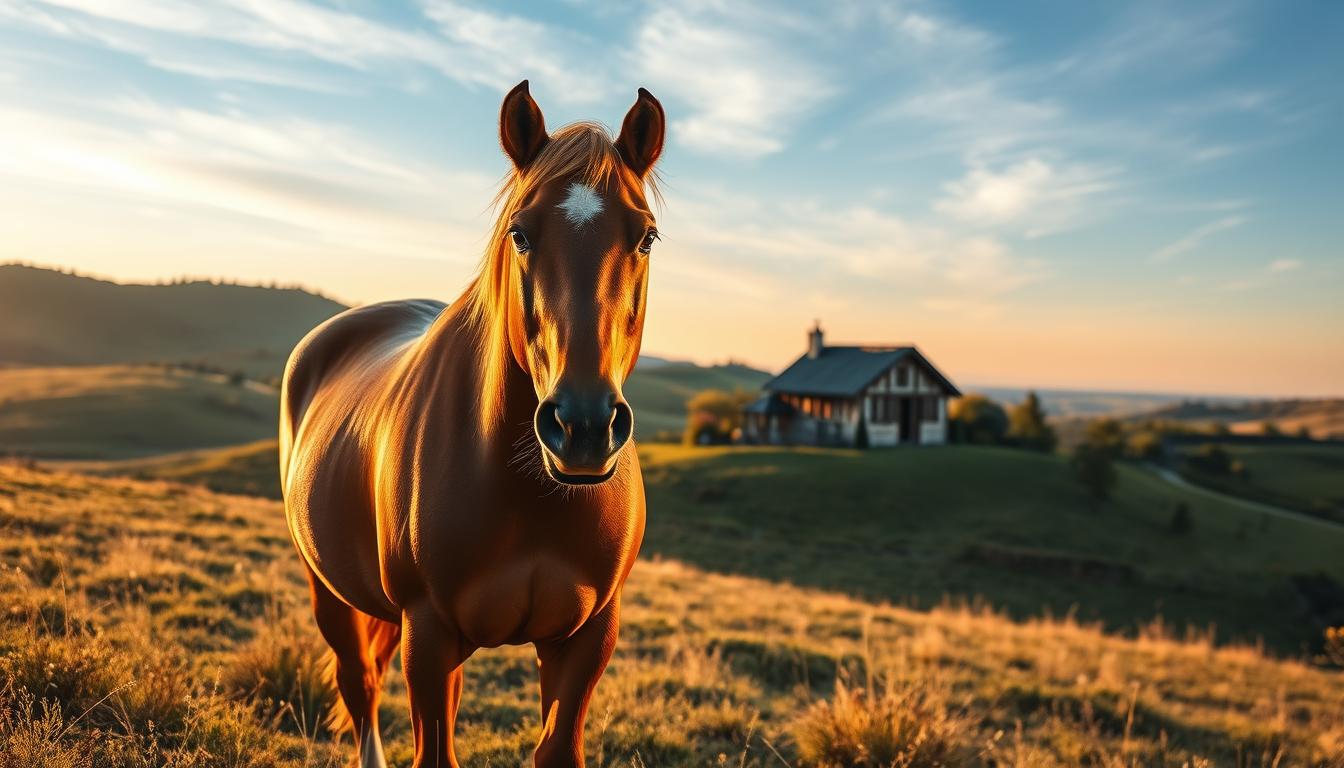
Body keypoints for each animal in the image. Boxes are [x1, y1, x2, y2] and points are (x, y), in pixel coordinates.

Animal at [279, 81, 666, 763]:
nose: (584, 425)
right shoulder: (428, 634)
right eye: (520, 233)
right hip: (330, 591)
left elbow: (556, 749)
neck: (532, 493)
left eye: (646, 236)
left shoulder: (587, 636)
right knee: (360, 685)